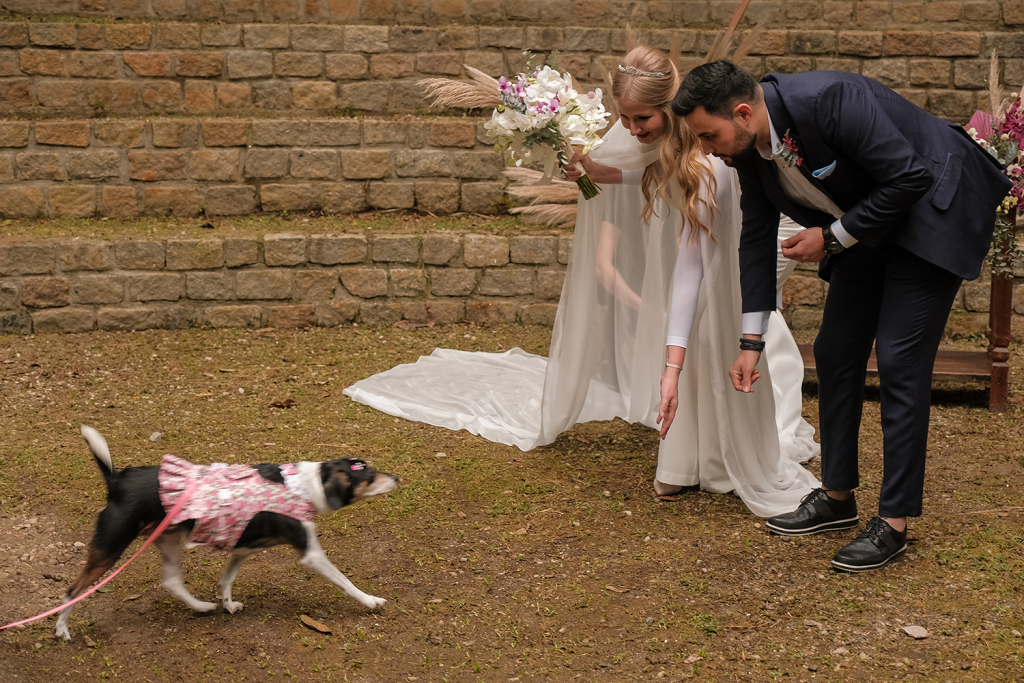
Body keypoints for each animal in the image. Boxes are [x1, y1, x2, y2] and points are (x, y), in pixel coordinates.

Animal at [56, 423, 399, 643]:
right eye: (368, 475)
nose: (395, 476)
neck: (306, 485)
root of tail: (117, 480)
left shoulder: (243, 547)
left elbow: (226, 579)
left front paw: (227, 604)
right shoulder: (311, 554)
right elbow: (345, 582)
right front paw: (370, 601)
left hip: (169, 540)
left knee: (172, 581)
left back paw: (202, 607)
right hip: (109, 548)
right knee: (73, 590)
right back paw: (62, 629)